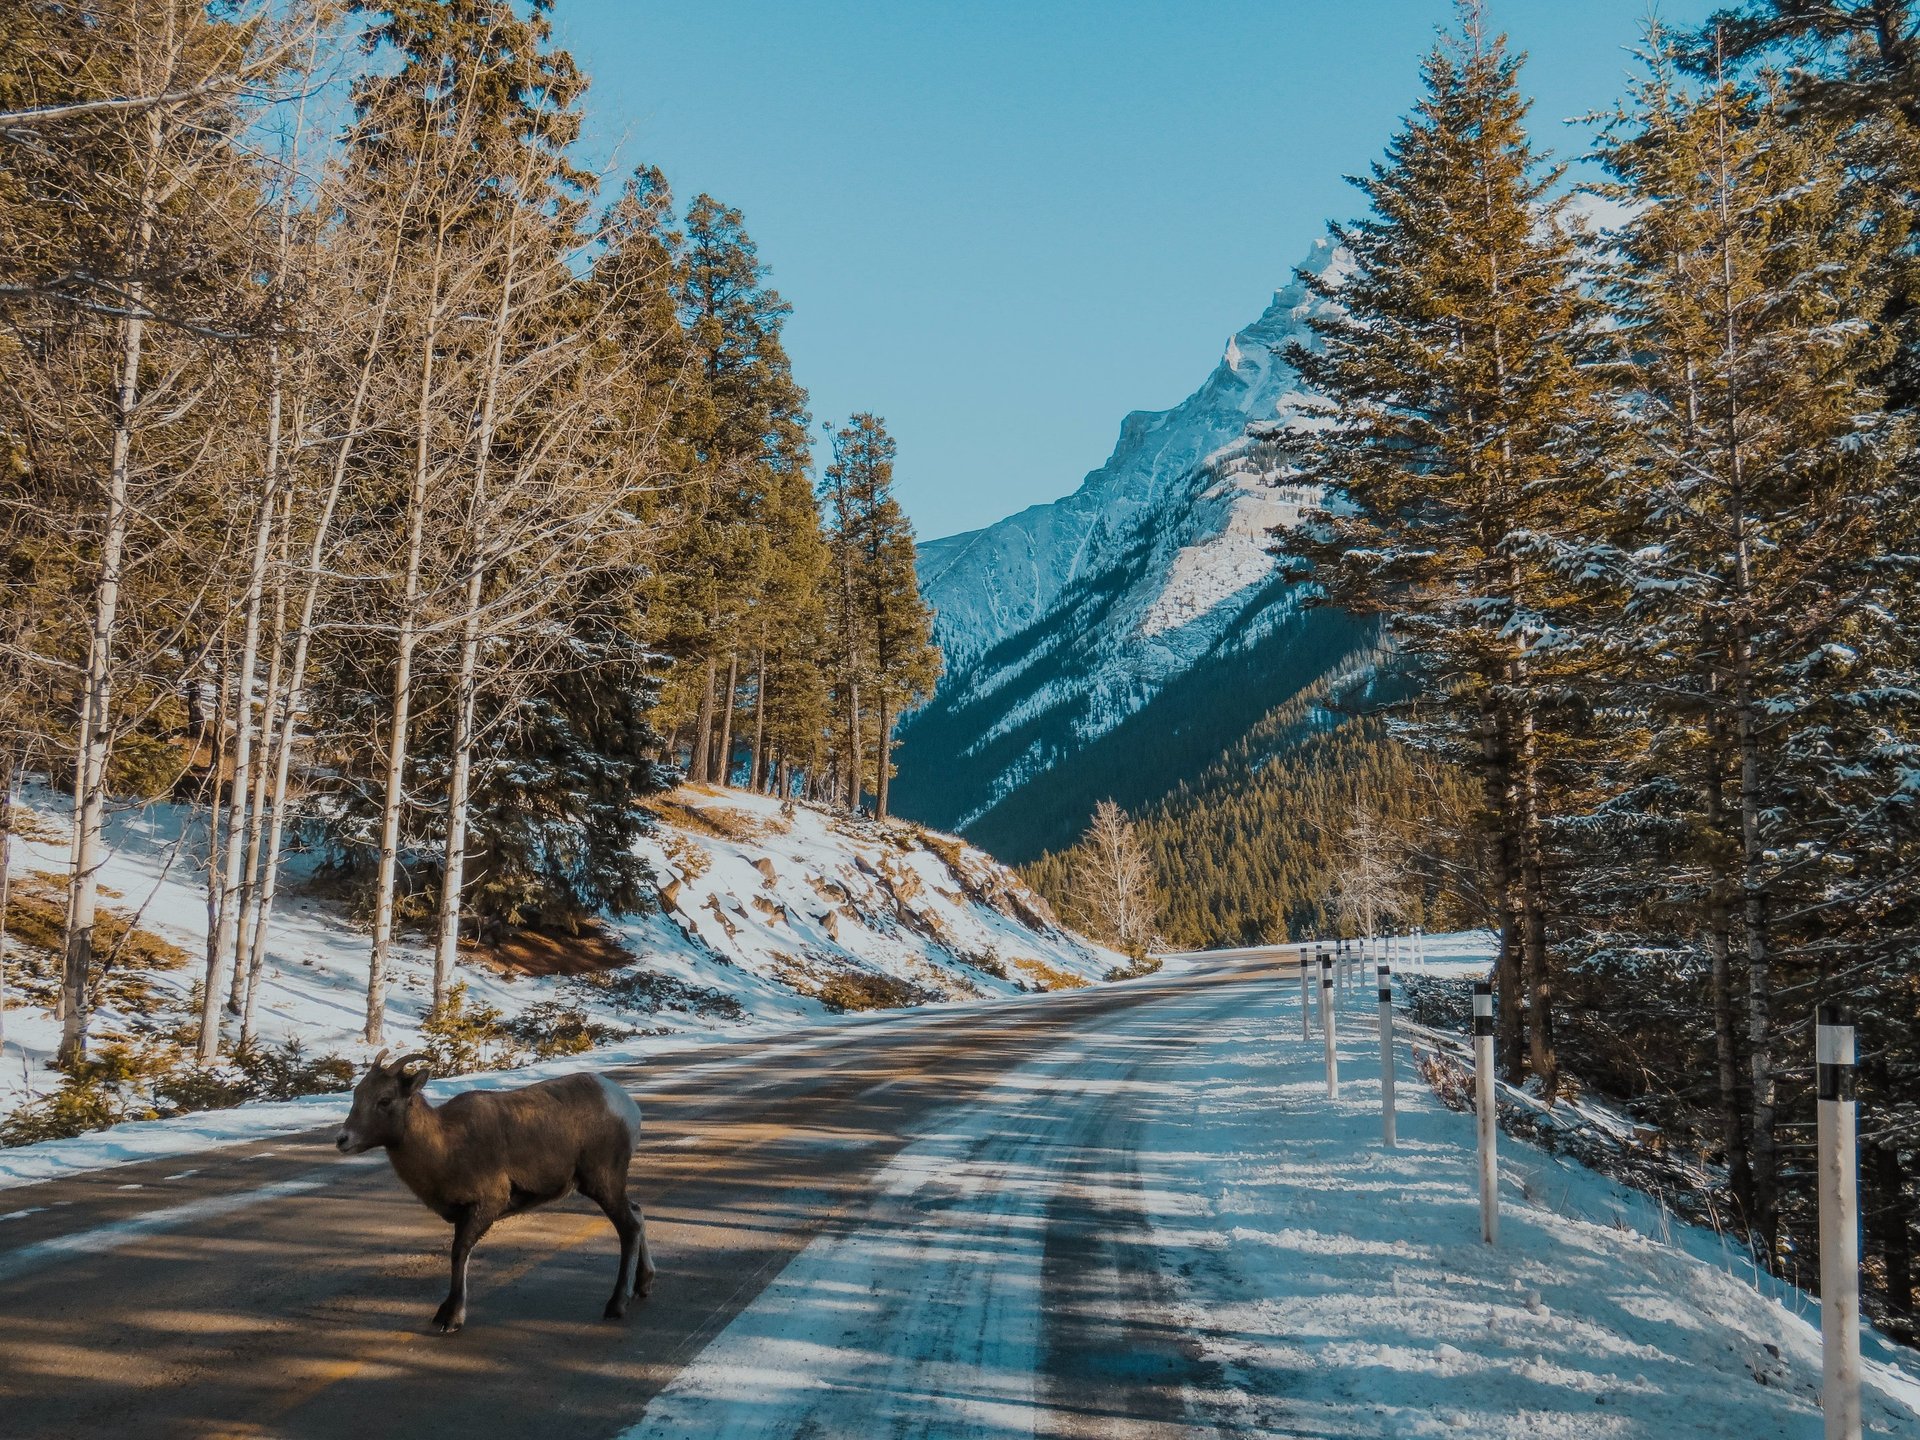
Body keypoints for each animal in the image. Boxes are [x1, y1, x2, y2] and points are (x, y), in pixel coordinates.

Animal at [336, 1052, 652, 1336]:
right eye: (357, 1095)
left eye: (384, 1100)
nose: (343, 1140)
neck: (446, 1145)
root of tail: (628, 1108)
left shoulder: (485, 1205)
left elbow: (459, 1253)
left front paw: (451, 1318)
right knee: (637, 1213)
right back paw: (643, 1285)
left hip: (602, 1183)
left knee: (629, 1227)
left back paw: (616, 1306)